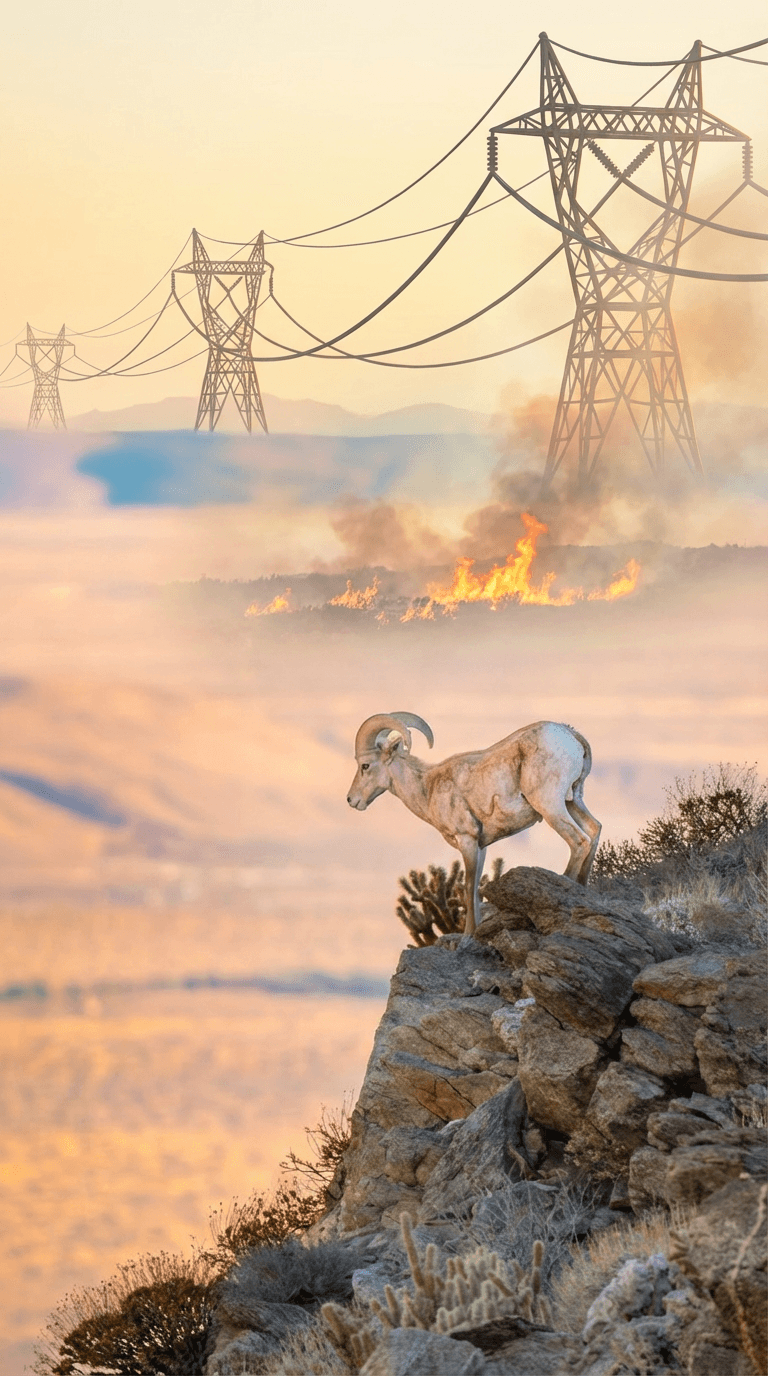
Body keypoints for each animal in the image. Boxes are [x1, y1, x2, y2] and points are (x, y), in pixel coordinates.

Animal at [347, 712, 601, 935]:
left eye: (365, 765)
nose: (351, 800)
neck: (428, 788)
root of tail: (572, 736)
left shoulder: (466, 839)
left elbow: (469, 887)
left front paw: (468, 935)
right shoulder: (482, 845)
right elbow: (477, 886)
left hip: (550, 805)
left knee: (579, 840)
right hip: (573, 801)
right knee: (594, 829)